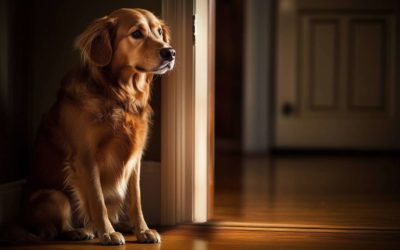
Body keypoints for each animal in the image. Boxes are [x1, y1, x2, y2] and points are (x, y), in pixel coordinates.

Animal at [21, 8, 173, 246]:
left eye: (159, 32)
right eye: (136, 34)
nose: (170, 52)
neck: (120, 96)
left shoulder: (135, 159)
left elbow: (136, 200)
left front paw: (142, 230)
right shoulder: (86, 157)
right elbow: (97, 199)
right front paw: (108, 233)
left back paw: (119, 225)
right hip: (55, 196)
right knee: (58, 227)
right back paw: (81, 231)